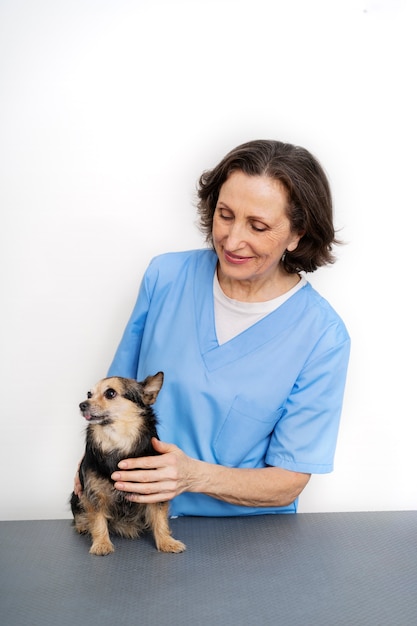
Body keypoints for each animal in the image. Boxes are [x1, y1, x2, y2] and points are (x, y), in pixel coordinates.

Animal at [70, 368, 184, 552]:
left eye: (110, 393)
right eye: (89, 394)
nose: (82, 404)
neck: (117, 442)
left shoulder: (156, 489)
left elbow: (159, 518)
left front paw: (167, 542)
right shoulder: (94, 494)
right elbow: (98, 519)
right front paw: (101, 544)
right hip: (76, 496)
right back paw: (83, 526)